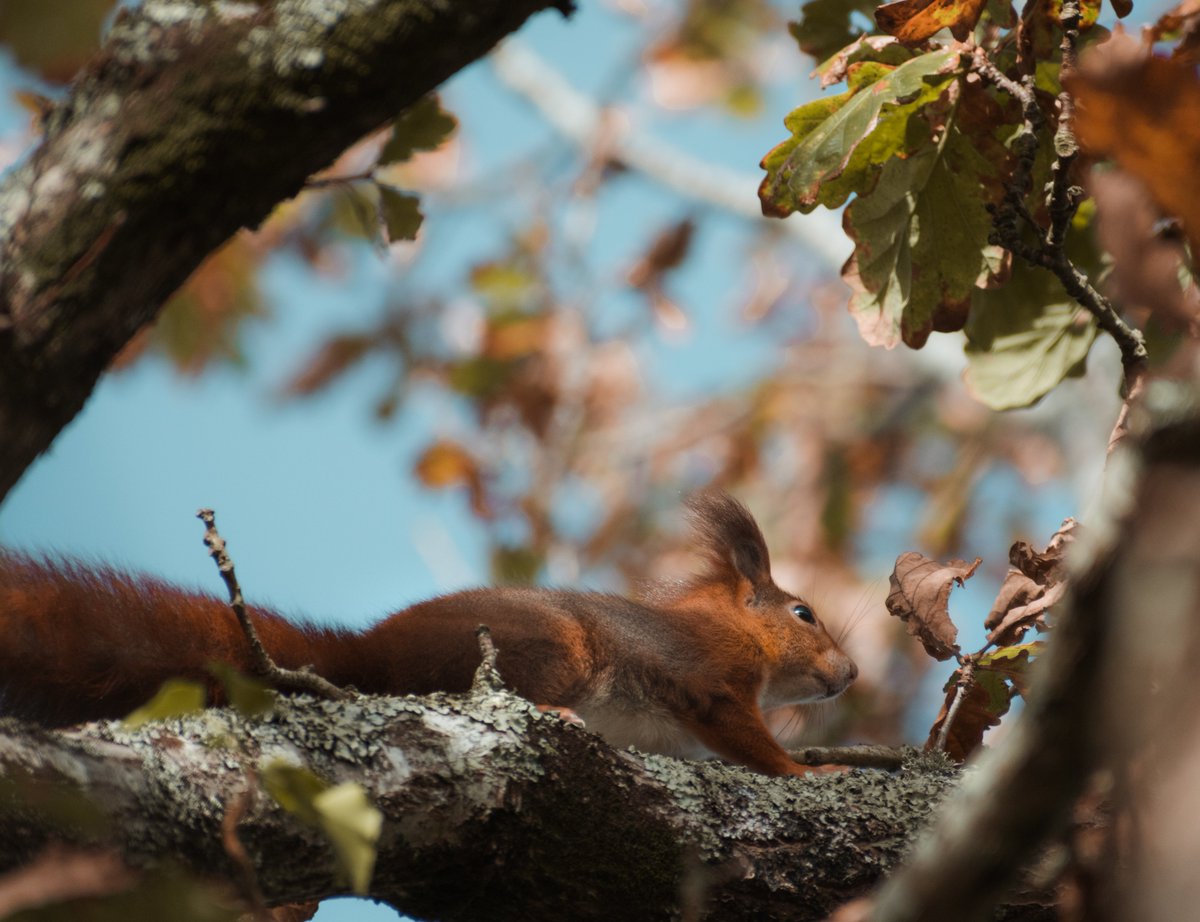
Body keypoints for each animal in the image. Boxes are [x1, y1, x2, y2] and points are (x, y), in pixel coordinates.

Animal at [0, 492, 856, 776]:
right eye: (804, 614)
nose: (849, 676)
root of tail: (368, 653)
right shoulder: (710, 679)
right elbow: (747, 738)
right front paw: (806, 772)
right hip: (552, 647)